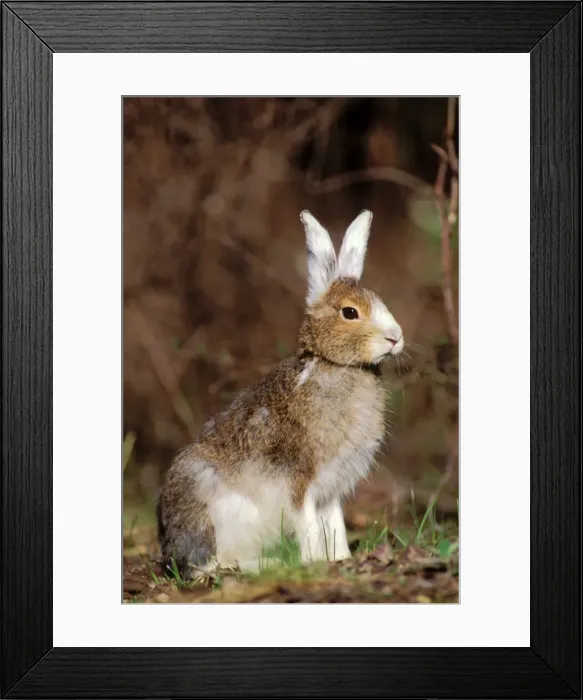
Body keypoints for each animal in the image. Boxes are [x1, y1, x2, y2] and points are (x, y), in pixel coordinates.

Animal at [156, 209, 404, 576]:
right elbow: (309, 525)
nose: (396, 337)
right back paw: (267, 564)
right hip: (222, 511)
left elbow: (335, 524)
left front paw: (341, 558)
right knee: (214, 564)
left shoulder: (331, 488)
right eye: (350, 312)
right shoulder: (300, 481)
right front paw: (314, 562)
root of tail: (173, 549)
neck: (334, 365)